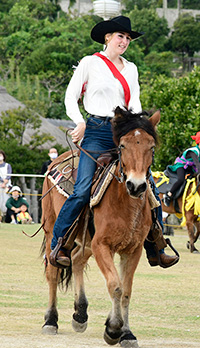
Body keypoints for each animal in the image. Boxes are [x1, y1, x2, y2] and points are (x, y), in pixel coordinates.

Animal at [41, 107, 160, 346]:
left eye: (151, 147)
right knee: (53, 272)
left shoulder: (133, 250)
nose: (136, 185)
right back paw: (51, 321)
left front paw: (126, 333)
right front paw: (113, 329)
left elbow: (126, 290)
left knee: (76, 261)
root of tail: (54, 164)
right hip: (52, 232)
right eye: (122, 145)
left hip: (84, 241)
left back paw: (80, 314)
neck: (125, 203)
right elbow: (115, 285)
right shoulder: (102, 245)